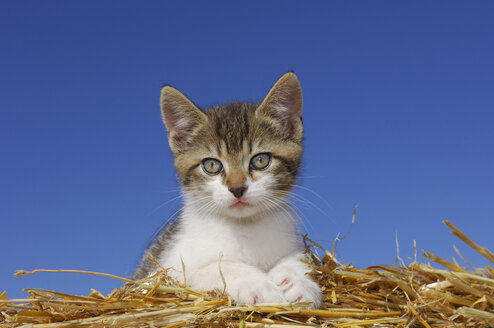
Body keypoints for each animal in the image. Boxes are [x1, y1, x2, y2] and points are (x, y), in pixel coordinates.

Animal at [133, 72, 322, 308]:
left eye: (260, 160)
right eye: (212, 165)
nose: (237, 188)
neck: (245, 227)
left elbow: (298, 258)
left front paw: (297, 282)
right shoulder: (169, 268)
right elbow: (221, 267)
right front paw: (261, 287)